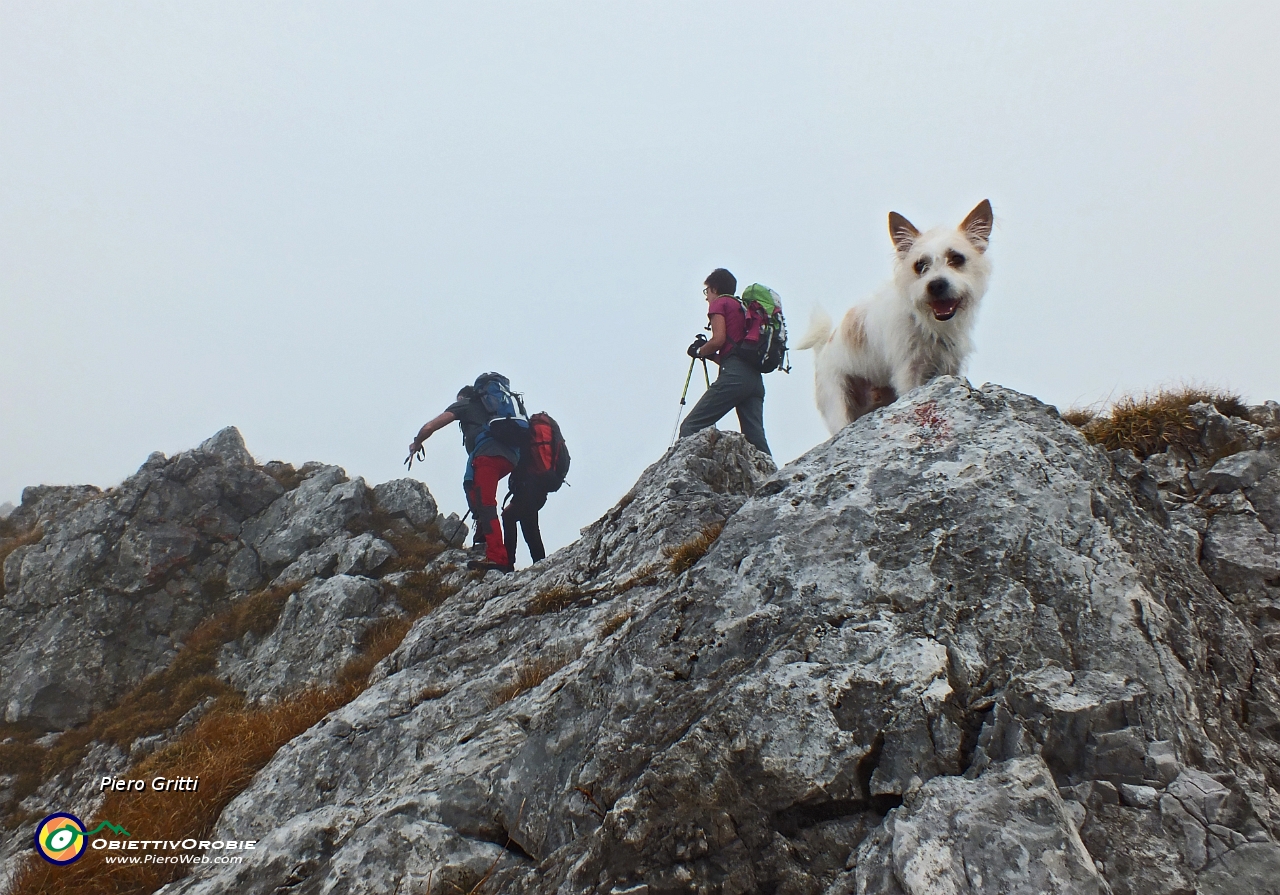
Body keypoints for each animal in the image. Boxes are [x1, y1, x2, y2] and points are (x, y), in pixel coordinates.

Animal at [793, 201, 993, 432]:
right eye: (919, 265)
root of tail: (823, 349)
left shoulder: (951, 367)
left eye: (957, 259)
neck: (927, 323)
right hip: (838, 403)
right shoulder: (909, 373)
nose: (936, 285)